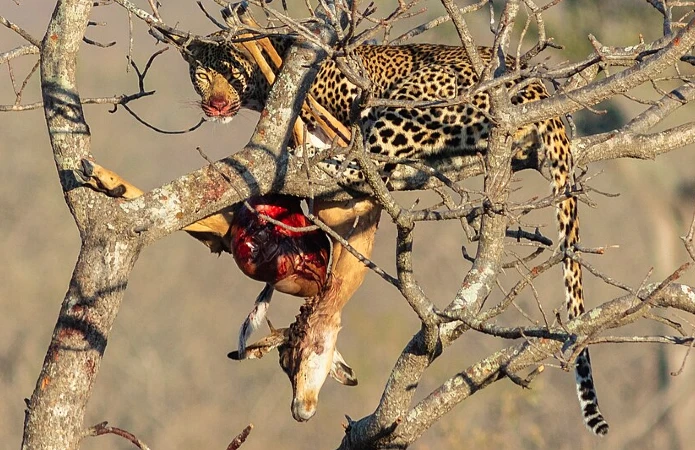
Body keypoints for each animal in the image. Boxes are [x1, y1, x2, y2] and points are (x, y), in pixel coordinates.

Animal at [162, 27, 609, 435]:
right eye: (201, 74)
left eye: (231, 70)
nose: (215, 103)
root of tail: (538, 90)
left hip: (411, 104)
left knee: (367, 159)